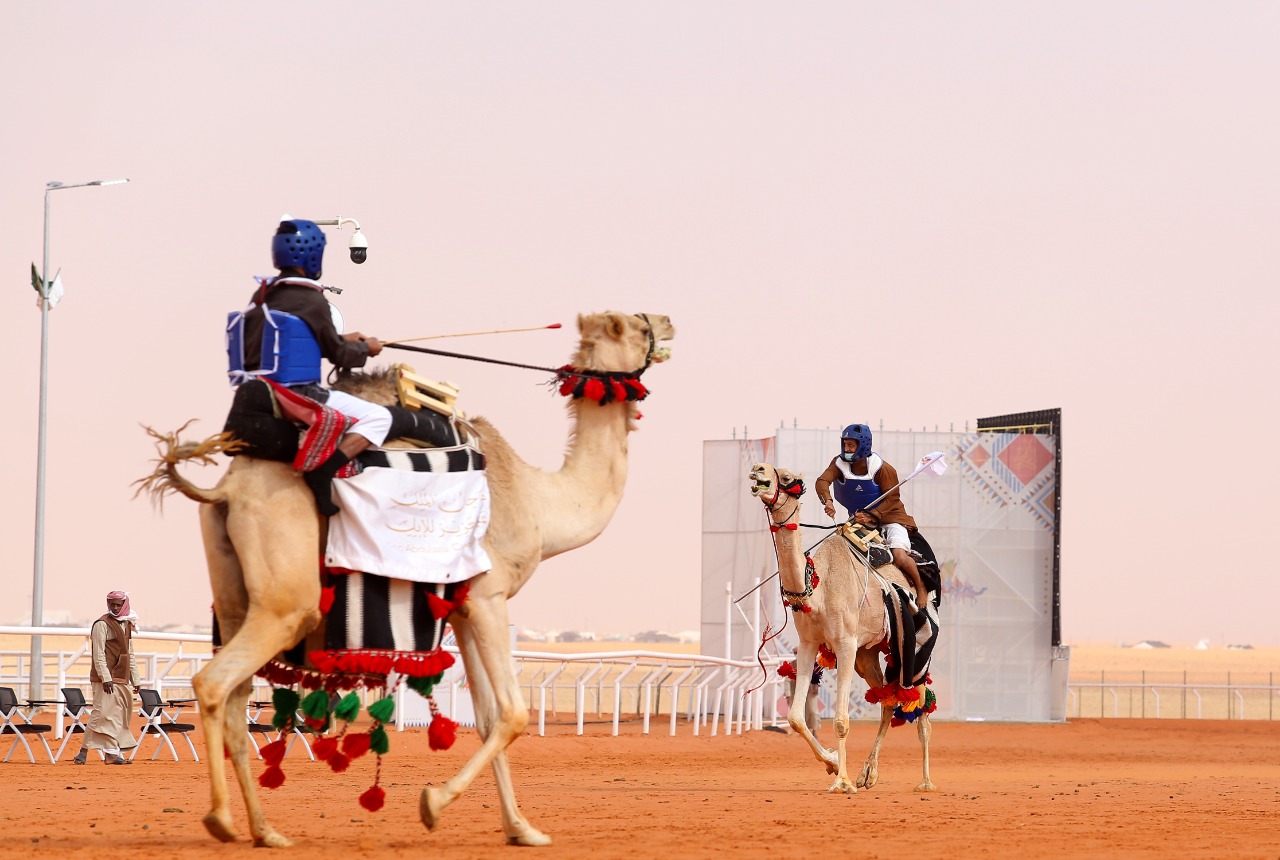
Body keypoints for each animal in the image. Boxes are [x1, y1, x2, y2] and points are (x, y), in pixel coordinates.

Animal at [138, 310, 675, 844]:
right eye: (635, 326)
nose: (668, 322)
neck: (538, 501)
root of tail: (225, 489)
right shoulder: (489, 595)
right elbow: (513, 713)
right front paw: (433, 803)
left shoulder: (461, 606)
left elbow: (487, 719)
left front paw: (521, 829)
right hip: (287, 600)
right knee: (213, 682)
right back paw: (222, 820)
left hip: (232, 596)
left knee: (234, 702)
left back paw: (265, 830)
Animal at [747, 463, 936, 793]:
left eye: (787, 477)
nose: (758, 470)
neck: (818, 590)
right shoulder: (809, 643)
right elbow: (796, 718)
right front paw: (834, 763)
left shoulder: (845, 643)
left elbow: (840, 720)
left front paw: (842, 782)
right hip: (868, 653)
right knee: (887, 700)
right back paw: (868, 774)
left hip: (914, 650)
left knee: (920, 706)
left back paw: (924, 783)